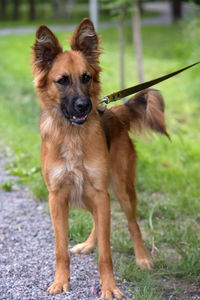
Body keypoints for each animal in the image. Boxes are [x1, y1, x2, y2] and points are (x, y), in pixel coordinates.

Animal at [31, 18, 169, 298]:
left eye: (86, 77)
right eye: (62, 81)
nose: (84, 106)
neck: (72, 135)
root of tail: (115, 112)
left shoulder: (98, 190)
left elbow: (106, 253)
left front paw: (110, 287)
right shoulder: (57, 196)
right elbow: (60, 248)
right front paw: (60, 281)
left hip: (120, 188)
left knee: (132, 224)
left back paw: (143, 258)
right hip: (90, 193)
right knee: (98, 219)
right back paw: (87, 244)